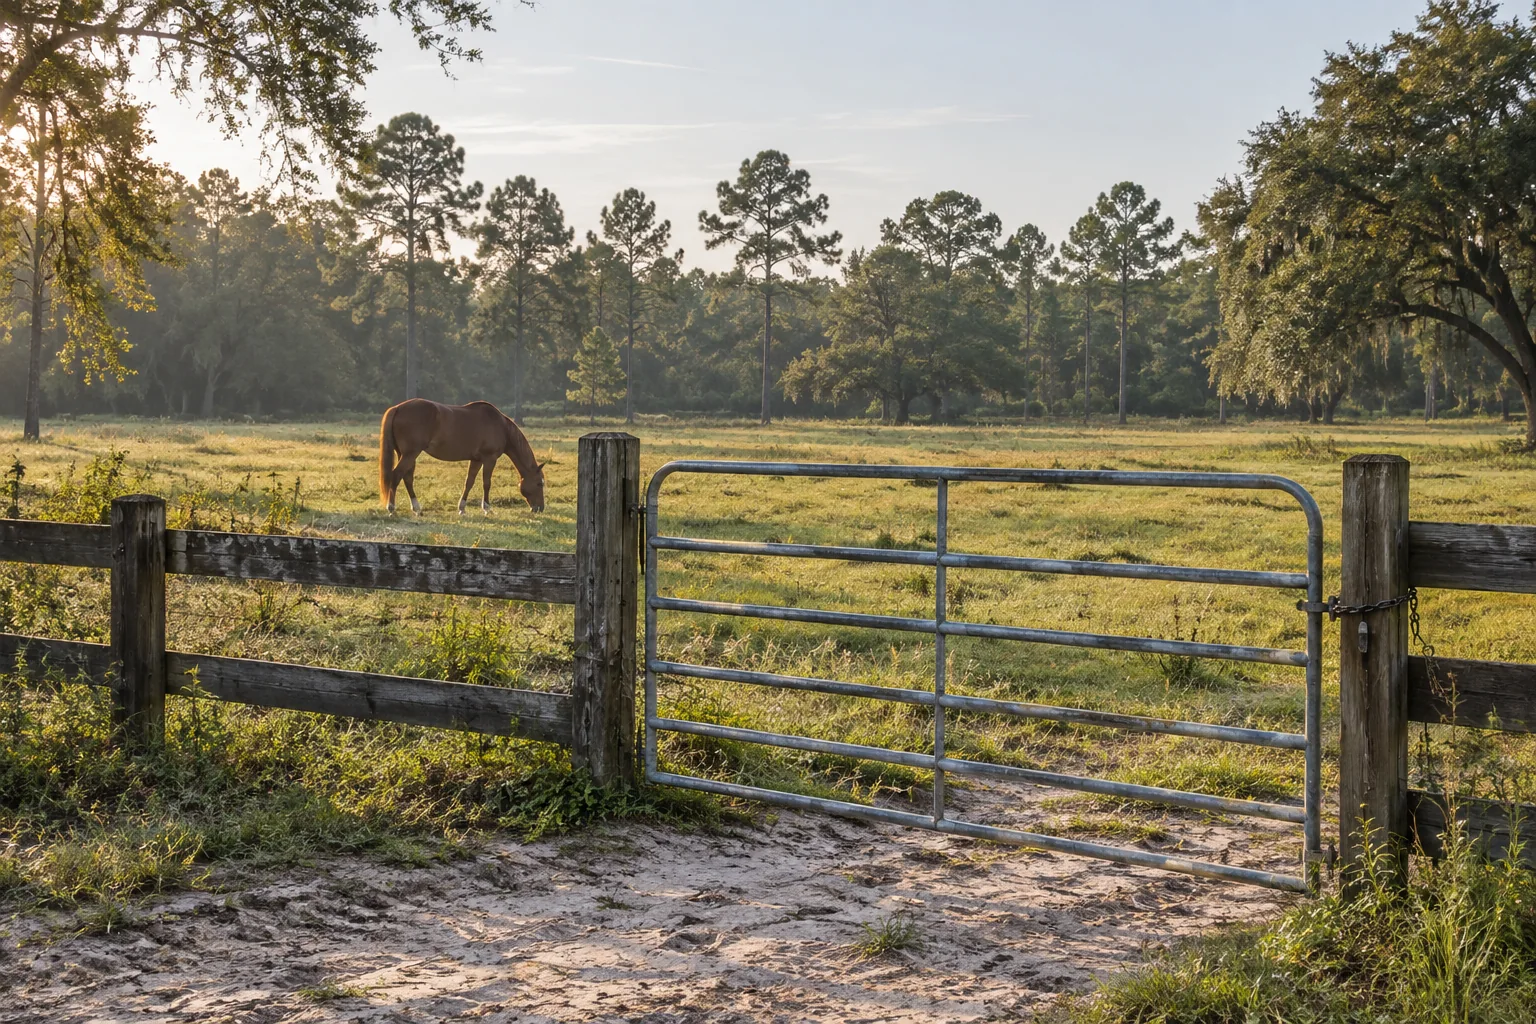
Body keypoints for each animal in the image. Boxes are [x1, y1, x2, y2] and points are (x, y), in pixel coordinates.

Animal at [378, 399, 546, 515]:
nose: (539, 508)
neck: (501, 427)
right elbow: (487, 483)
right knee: (396, 475)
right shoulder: (489, 459)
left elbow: (469, 482)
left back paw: (417, 508)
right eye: (539, 484)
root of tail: (397, 408)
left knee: (407, 478)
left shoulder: (476, 460)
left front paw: (462, 508)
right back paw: (391, 508)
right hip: (411, 453)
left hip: (405, 454)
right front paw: (487, 508)